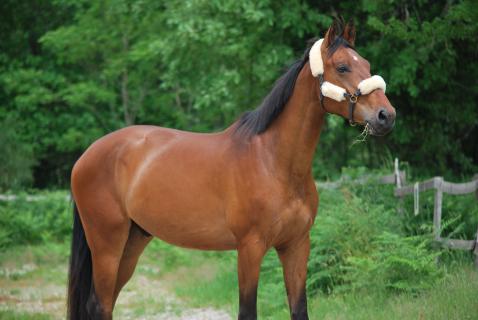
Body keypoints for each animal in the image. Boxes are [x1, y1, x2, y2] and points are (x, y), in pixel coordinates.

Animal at [67, 18, 396, 318]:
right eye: (342, 67)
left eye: (366, 64)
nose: (386, 115)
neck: (274, 162)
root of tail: (87, 155)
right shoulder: (249, 248)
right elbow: (247, 311)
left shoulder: (297, 246)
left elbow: (299, 309)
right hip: (107, 245)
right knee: (98, 304)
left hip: (132, 243)